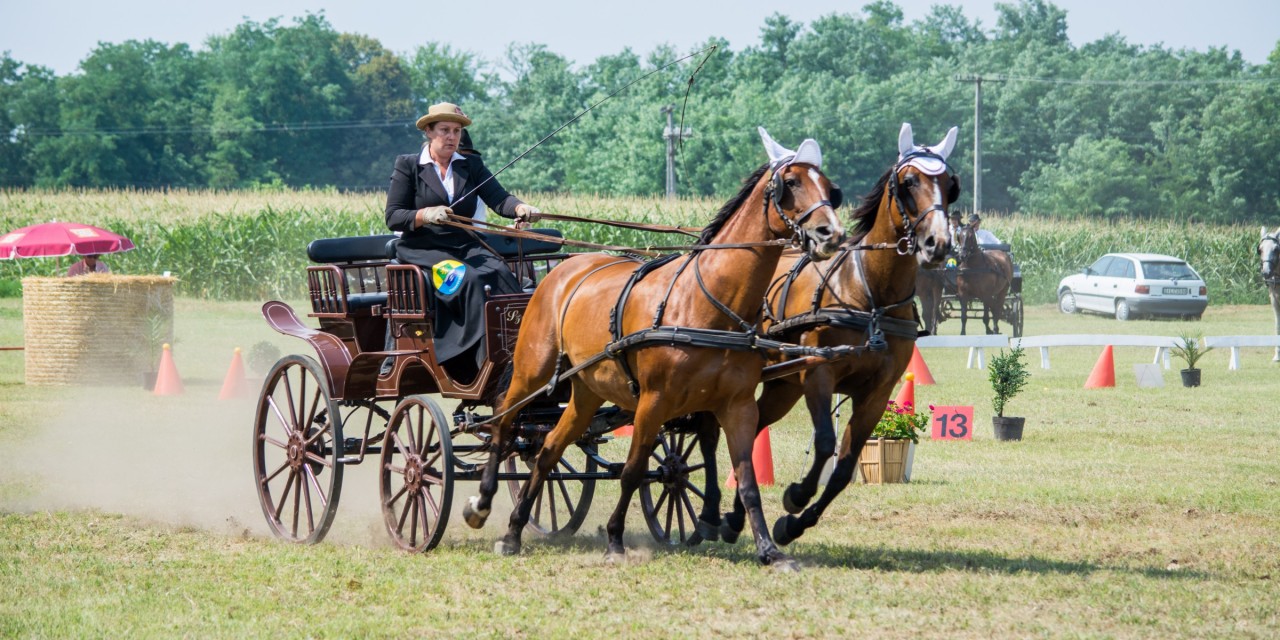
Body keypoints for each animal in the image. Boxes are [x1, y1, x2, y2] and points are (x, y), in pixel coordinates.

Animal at [465, 129, 844, 570]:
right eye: (791, 183)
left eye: (829, 188)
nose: (831, 234)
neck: (707, 301)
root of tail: (559, 271)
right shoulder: (653, 400)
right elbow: (632, 470)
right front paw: (614, 541)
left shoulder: (738, 405)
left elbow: (746, 478)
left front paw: (769, 550)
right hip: (532, 372)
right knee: (504, 424)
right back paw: (482, 504)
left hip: (585, 391)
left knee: (546, 451)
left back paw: (513, 532)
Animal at [716, 123, 957, 545]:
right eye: (909, 182)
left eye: (949, 184)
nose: (938, 243)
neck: (871, 293)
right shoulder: (818, 372)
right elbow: (826, 442)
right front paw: (796, 496)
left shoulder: (877, 392)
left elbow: (845, 465)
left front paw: (793, 524)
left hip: (783, 386)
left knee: (754, 425)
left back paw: (733, 519)